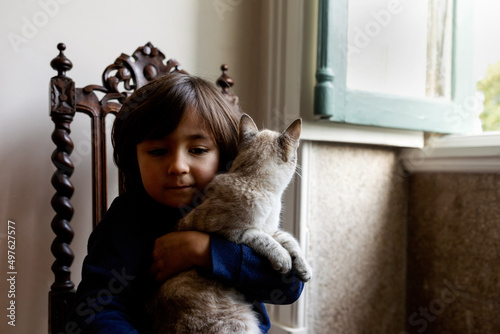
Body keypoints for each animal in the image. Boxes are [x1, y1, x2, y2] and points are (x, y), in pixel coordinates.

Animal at [147, 113, 312, 332]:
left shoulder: (272, 229)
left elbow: (291, 242)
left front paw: (304, 270)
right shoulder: (235, 232)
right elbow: (266, 242)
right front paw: (283, 261)